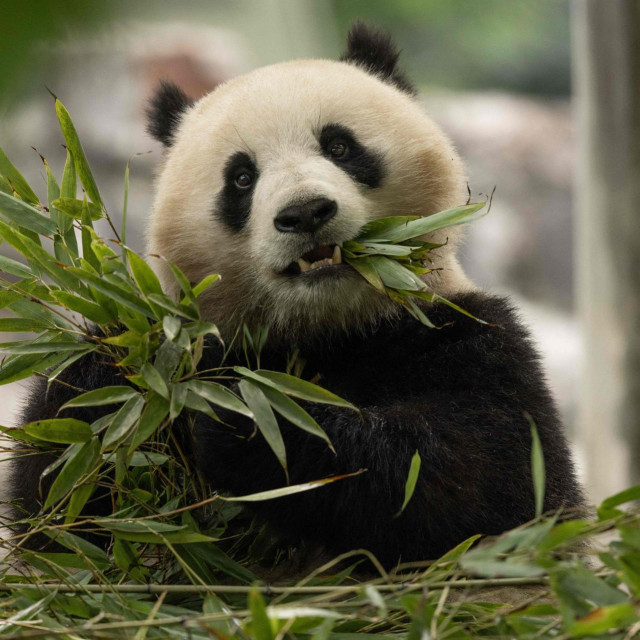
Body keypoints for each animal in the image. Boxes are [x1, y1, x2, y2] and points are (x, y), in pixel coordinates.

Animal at [8, 23, 585, 569]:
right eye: (241, 177)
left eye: (339, 146)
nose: (305, 213)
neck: (327, 328)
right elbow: (62, 517)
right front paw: (114, 375)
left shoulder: (467, 336)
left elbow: (483, 482)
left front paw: (247, 419)